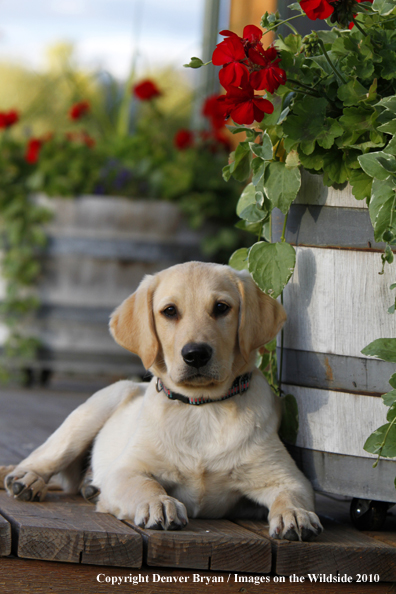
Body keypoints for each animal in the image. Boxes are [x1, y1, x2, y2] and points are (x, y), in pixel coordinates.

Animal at [1, 262, 322, 540]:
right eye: (169, 311)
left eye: (221, 308)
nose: (195, 354)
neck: (202, 408)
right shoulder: (126, 470)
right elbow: (146, 484)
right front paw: (159, 503)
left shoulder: (287, 478)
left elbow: (290, 494)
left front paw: (295, 514)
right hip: (94, 411)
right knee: (44, 457)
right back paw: (27, 480)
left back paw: (88, 486)